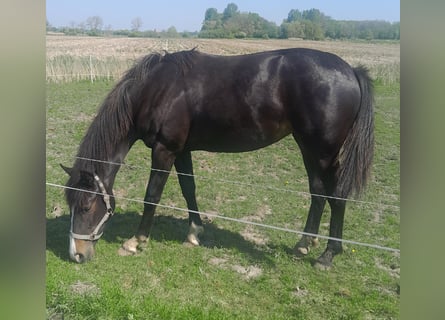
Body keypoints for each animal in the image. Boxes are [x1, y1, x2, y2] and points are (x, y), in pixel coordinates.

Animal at [60, 48, 372, 268]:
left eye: (86, 207)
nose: (77, 255)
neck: (158, 88)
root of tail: (351, 70)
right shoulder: (181, 151)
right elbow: (189, 189)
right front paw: (194, 232)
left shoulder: (164, 149)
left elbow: (152, 195)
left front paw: (136, 241)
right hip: (310, 149)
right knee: (318, 194)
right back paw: (304, 245)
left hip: (323, 152)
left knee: (336, 196)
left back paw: (328, 255)